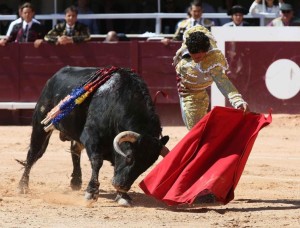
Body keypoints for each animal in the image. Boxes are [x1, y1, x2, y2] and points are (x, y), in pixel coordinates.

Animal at [17, 66, 169, 207]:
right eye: (129, 157)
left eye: (147, 166)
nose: (121, 185)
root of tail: (53, 77)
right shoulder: (91, 137)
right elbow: (97, 161)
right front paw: (91, 193)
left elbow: (115, 166)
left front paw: (123, 196)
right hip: (40, 125)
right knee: (33, 153)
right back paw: (22, 186)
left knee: (74, 150)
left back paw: (76, 181)